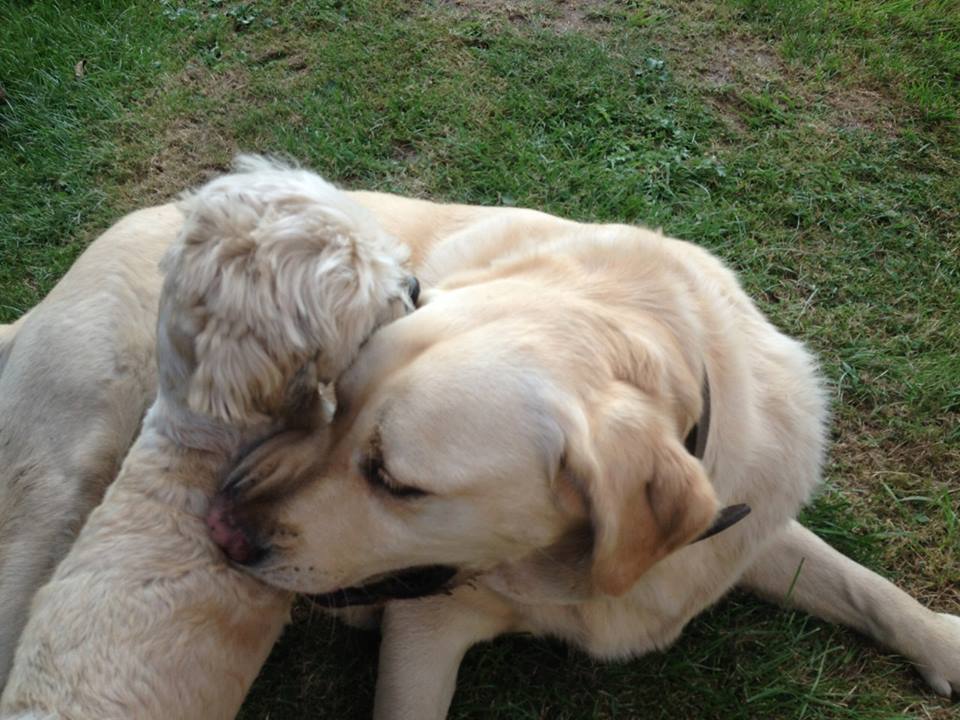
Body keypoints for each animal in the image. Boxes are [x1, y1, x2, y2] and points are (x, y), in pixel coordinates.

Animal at [216, 194, 960, 716]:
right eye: (331, 403)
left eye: (394, 482)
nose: (220, 529)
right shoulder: (424, 627)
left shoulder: (739, 522)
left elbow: (860, 583)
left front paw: (941, 641)